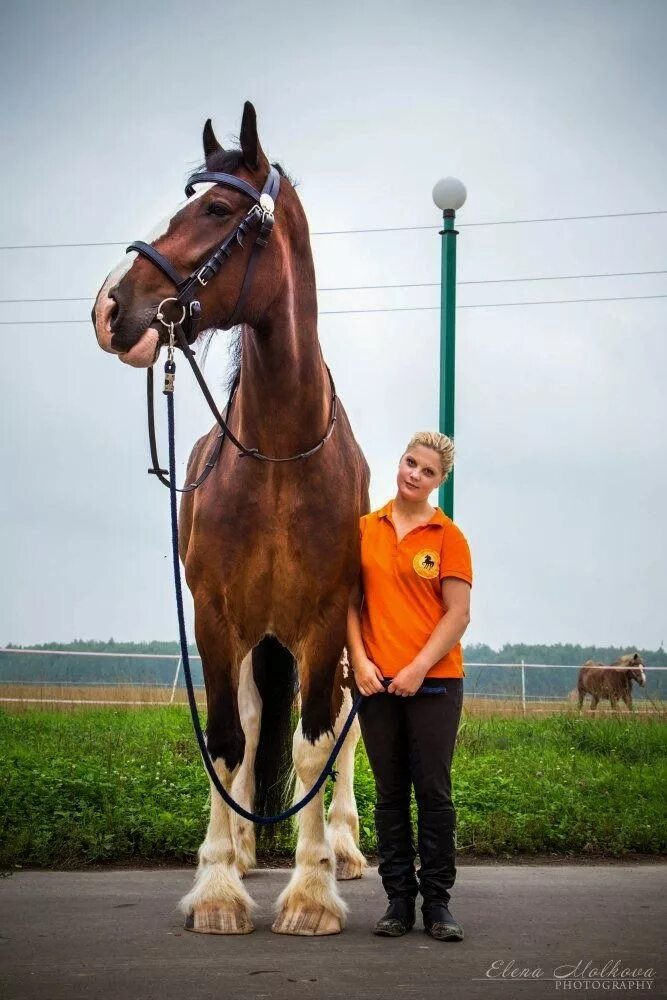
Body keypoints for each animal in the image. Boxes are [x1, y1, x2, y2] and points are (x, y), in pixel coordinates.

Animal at [91, 97, 370, 932]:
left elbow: (313, 744)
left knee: (344, 735)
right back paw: (245, 848)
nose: (110, 305)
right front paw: (218, 883)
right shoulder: (215, 618)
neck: (279, 455)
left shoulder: (324, 622)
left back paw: (344, 846)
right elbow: (224, 741)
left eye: (216, 210)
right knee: (248, 725)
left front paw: (311, 891)